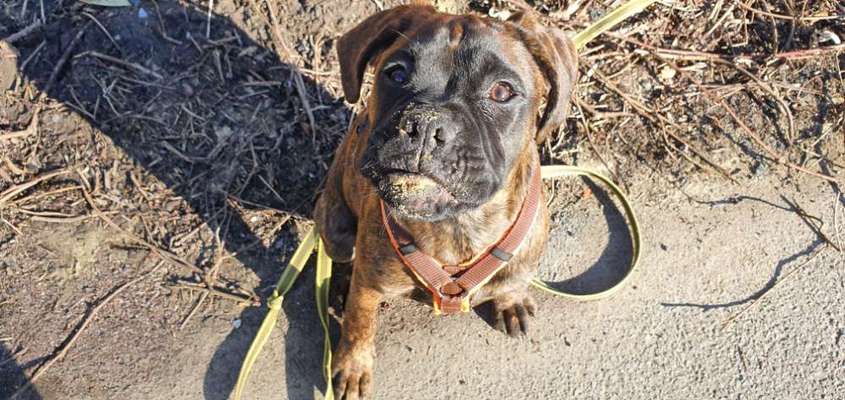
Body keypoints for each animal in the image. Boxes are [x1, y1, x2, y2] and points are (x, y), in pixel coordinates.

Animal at [314, 3, 576, 396]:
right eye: (396, 73)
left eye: (502, 91)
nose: (424, 123)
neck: (458, 225)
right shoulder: (368, 290)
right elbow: (360, 326)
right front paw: (353, 367)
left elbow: (513, 282)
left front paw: (511, 300)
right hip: (335, 228)